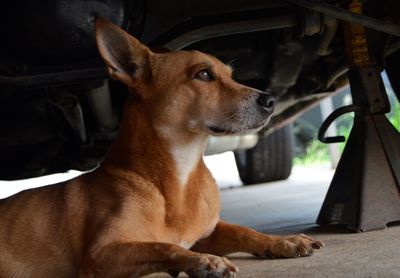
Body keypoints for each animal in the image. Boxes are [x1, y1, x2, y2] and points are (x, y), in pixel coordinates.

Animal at [0, 18, 322, 276]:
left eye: (230, 75)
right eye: (204, 74)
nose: (270, 100)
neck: (177, 177)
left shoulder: (207, 232)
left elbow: (243, 229)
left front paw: (282, 241)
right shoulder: (102, 253)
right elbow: (163, 246)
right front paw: (205, 261)